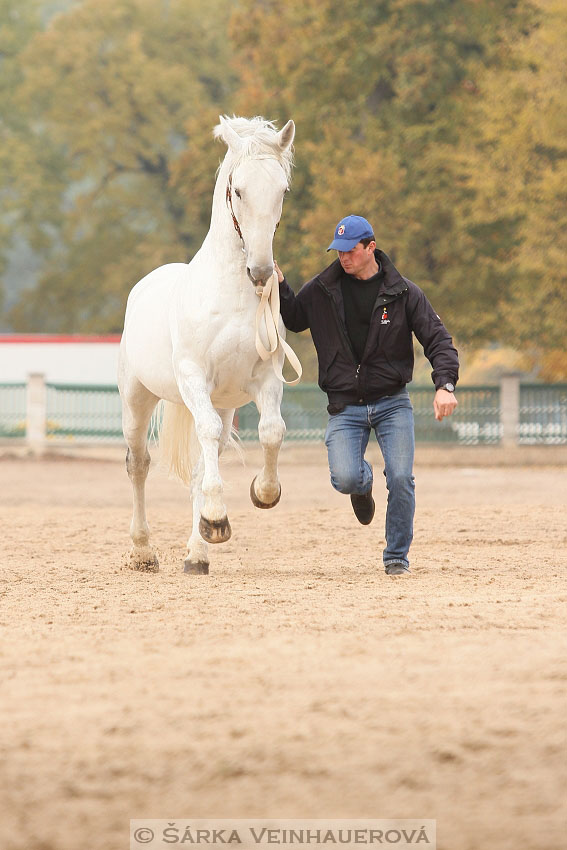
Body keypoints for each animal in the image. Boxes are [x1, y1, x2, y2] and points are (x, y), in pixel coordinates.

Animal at [120, 116, 298, 572]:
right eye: (238, 190)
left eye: (282, 190)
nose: (261, 271)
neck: (231, 296)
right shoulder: (193, 378)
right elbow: (205, 438)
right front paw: (217, 518)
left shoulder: (264, 379)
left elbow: (271, 431)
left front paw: (262, 493)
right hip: (137, 398)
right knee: (139, 464)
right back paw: (143, 550)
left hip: (223, 402)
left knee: (205, 460)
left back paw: (196, 554)